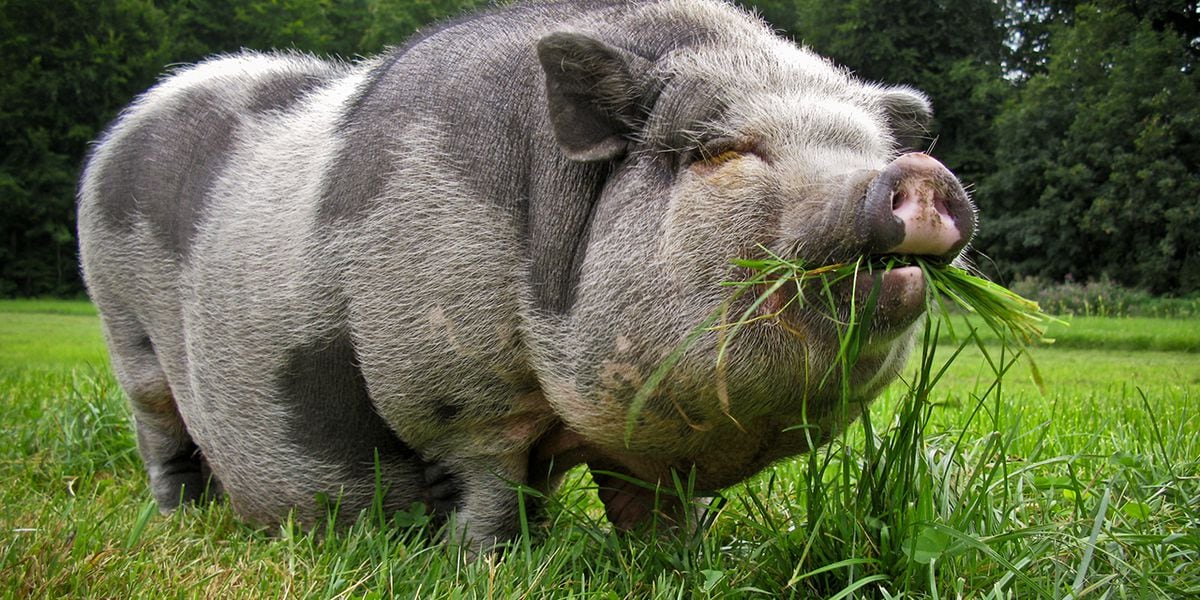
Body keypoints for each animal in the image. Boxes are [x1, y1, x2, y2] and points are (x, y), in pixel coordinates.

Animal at [76, 0, 975, 550]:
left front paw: (674, 565)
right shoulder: (453, 386)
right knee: (162, 433)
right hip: (125, 330)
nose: (918, 173)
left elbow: (654, 513)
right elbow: (488, 487)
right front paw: (495, 567)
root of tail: (120, 128)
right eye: (722, 151)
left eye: (872, 147)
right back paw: (178, 522)